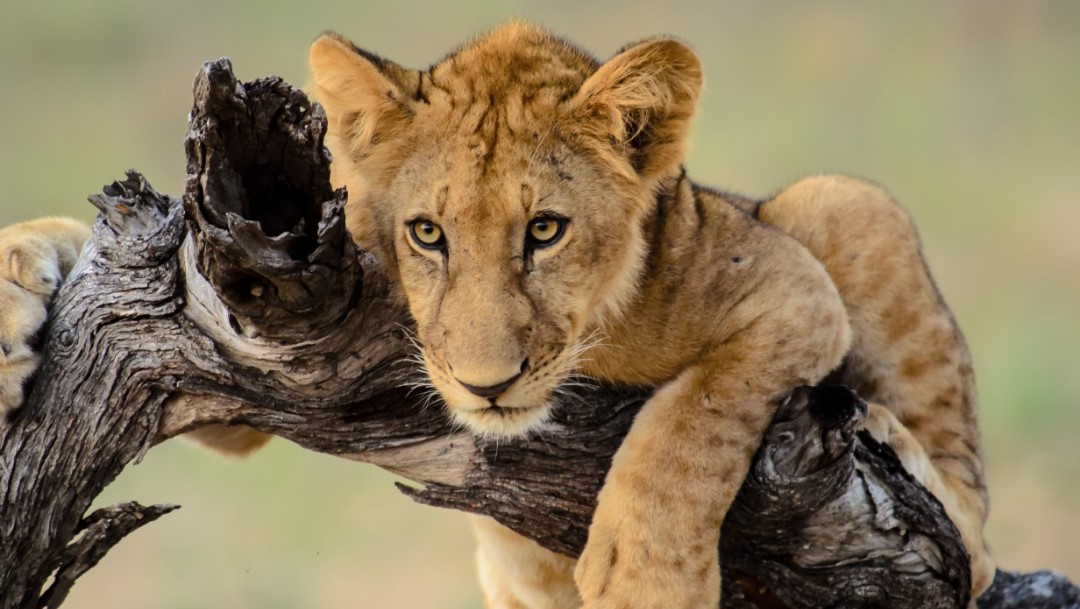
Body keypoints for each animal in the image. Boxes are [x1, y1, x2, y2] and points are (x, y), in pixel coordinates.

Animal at [0, 21, 993, 609]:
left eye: (545, 230)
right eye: (427, 233)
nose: (487, 384)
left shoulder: (793, 291)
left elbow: (696, 416)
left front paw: (649, 576)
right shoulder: (248, 326)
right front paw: (15, 309)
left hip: (848, 202)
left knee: (972, 527)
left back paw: (900, 445)